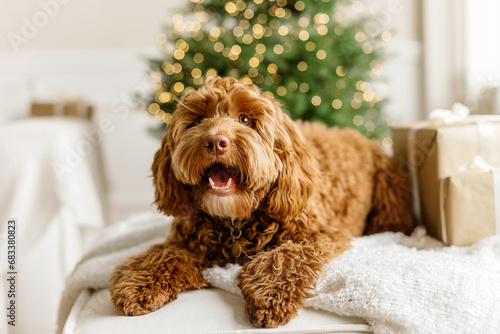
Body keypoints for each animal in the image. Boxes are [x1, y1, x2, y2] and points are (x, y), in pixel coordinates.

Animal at [110, 76, 414, 328]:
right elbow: (162, 255)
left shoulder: (318, 234)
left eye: (245, 119)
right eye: (198, 119)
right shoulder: (187, 241)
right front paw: (137, 285)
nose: (216, 142)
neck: (236, 221)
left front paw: (269, 295)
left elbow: (286, 256)